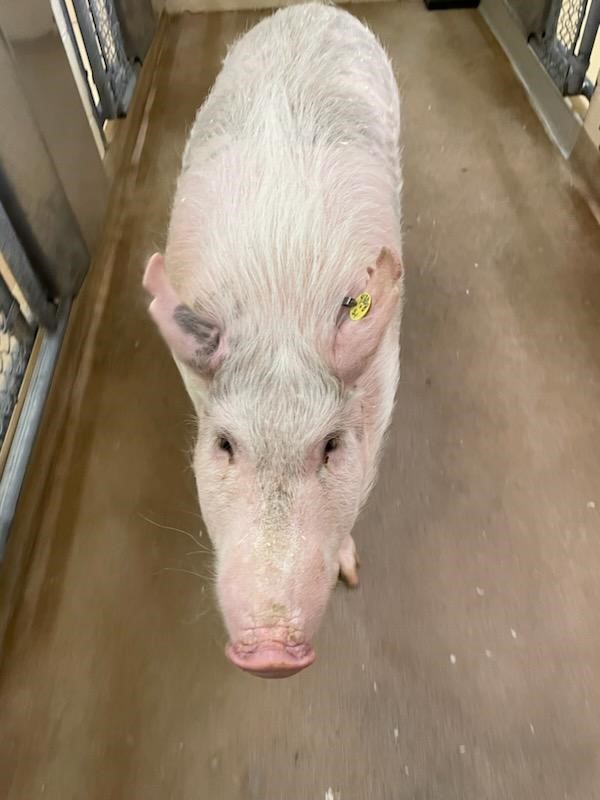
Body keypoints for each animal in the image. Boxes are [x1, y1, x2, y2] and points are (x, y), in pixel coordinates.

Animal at [143, 2, 403, 678]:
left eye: (332, 446)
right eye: (224, 445)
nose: (270, 652)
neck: (281, 312)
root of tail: (314, 8)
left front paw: (352, 574)